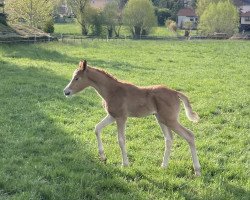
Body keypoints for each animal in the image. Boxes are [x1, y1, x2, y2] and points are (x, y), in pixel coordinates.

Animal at [64, 60, 201, 175]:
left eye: (77, 78)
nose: (66, 92)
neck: (112, 91)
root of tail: (176, 93)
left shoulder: (121, 117)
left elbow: (121, 140)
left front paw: (125, 164)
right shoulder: (112, 116)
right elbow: (97, 128)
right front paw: (103, 156)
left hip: (170, 120)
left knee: (189, 135)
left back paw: (197, 170)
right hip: (161, 119)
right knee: (169, 139)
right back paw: (164, 166)